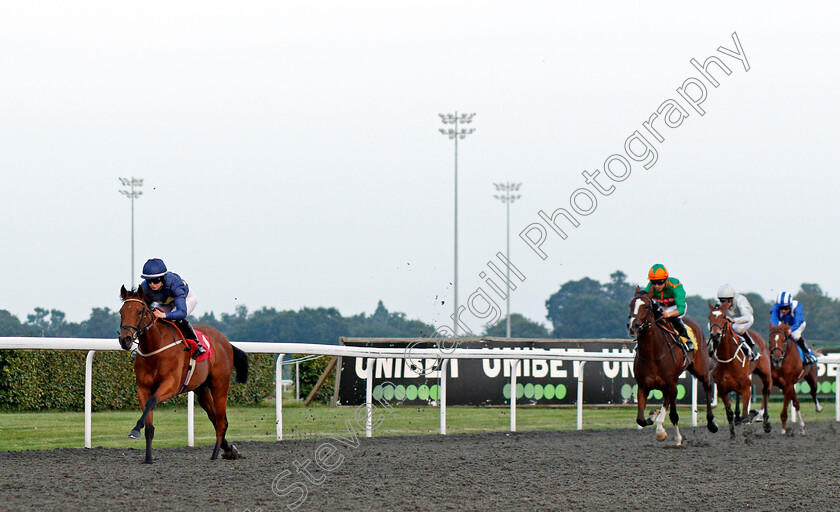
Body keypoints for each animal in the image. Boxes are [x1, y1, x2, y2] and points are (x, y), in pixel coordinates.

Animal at [119, 284, 249, 464]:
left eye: (139, 312)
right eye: (121, 312)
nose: (125, 339)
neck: (155, 347)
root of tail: (226, 342)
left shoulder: (171, 384)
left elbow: (152, 401)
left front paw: (135, 429)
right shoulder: (143, 388)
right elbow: (149, 422)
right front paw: (148, 458)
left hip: (220, 386)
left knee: (221, 422)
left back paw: (214, 455)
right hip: (202, 390)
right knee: (216, 419)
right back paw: (229, 450)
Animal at [628, 288, 720, 444]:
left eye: (646, 306)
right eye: (630, 305)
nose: (632, 326)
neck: (653, 354)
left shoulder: (671, 385)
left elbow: (672, 415)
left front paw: (669, 436)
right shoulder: (643, 386)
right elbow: (641, 419)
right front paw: (654, 416)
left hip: (700, 369)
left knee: (707, 386)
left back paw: (711, 423)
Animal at [704, 302, 772, 438]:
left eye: (724, 317)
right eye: (709, 317)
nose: (715, 335)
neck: (728, 359)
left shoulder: (746, 388)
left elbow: (746, 414)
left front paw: (747, 431)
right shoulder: (722, 388)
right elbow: (729, 413)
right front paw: (732, 435)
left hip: (766, 374)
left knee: (765, 391)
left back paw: (765, 422)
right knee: (737, 395)